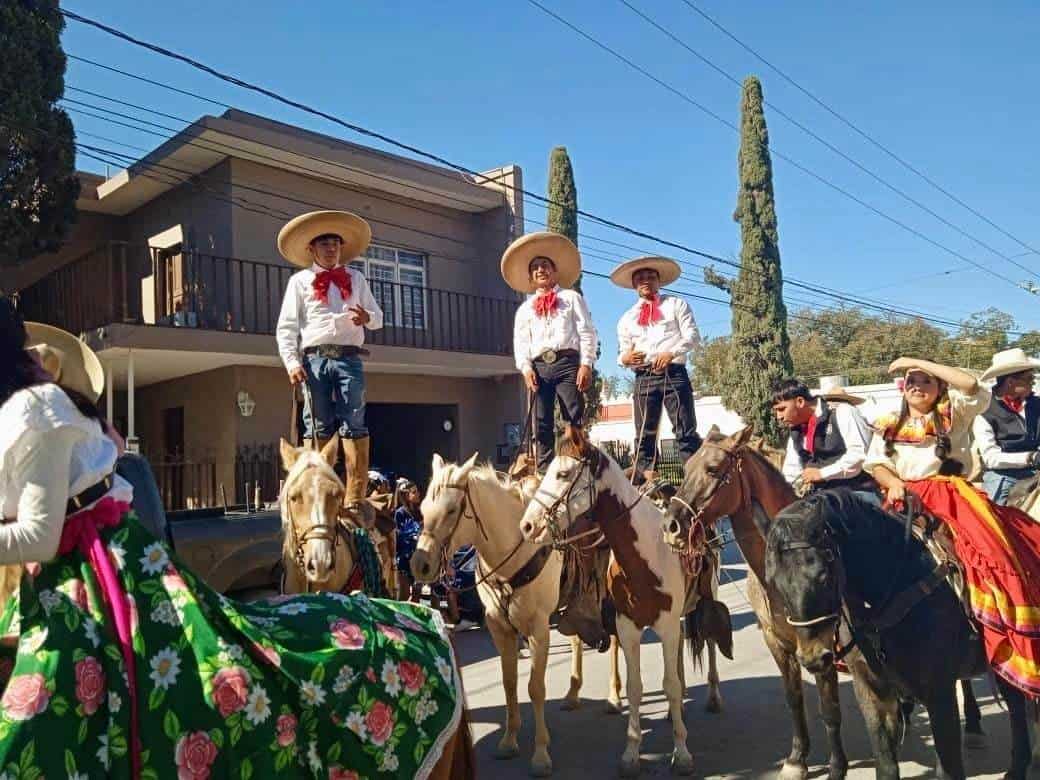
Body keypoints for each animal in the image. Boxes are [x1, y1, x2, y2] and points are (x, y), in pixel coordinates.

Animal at [409, 455, 619, 777]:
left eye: (452, 509)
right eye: (422, 509)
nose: (420, 565)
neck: (512, 553)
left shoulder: (538, 629)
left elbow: (535, 687)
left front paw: (541, 753)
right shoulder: (500, 628)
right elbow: (509, 684)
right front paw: (509, 740)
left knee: (617, 643)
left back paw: (614, 697)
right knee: (575, 640)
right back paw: (572, 694)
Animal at [520, 430, 715, 777]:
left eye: (563, 474)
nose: (527, 526)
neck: (647, 552)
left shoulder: (665, 625)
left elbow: (669, 684)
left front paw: (681, 752)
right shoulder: (628, 627)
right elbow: (637, 687)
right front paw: (631, 753)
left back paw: (713, 698)